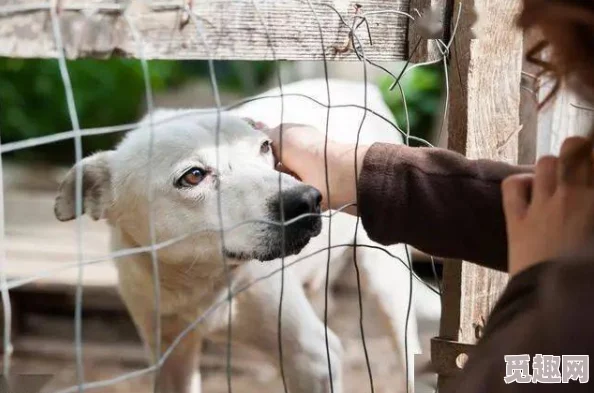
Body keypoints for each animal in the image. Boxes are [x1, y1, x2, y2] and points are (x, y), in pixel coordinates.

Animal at [53, 78, 438, 390]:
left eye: (265, 147)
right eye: (193, 175)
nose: (306, 200)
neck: (198, 283)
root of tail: (357, 86)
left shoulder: (312, 357)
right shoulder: (169, 357)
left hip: (386, 285)